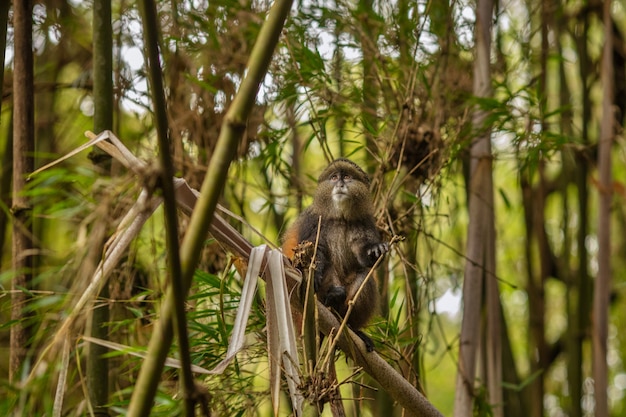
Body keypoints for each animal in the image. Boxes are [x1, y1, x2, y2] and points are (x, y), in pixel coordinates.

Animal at [282, 158, 388, 350]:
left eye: (346, 177)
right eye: (333, 177)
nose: (340, 184)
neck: (340, 218)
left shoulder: (365, 222)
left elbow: (364, 257)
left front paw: (375, 251)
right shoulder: (313, 220)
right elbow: (315, 252)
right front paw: (315, 273)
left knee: (364, 275)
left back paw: (351, 327)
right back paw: (331, 298)